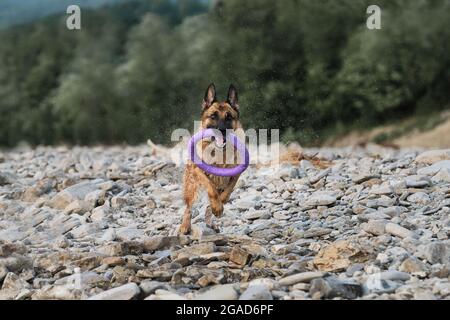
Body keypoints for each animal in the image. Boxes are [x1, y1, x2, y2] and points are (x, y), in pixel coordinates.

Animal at [179, 84, 243, 235]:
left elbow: (226, 195)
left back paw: (211, 220)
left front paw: (217, 209)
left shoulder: (234, 176)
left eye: (229, 117)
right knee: (189, 207)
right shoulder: (199, 172)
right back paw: (185, 226)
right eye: (213, 116)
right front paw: (217, 208)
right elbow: (211, 189)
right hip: (191, 186)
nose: (222, 130)